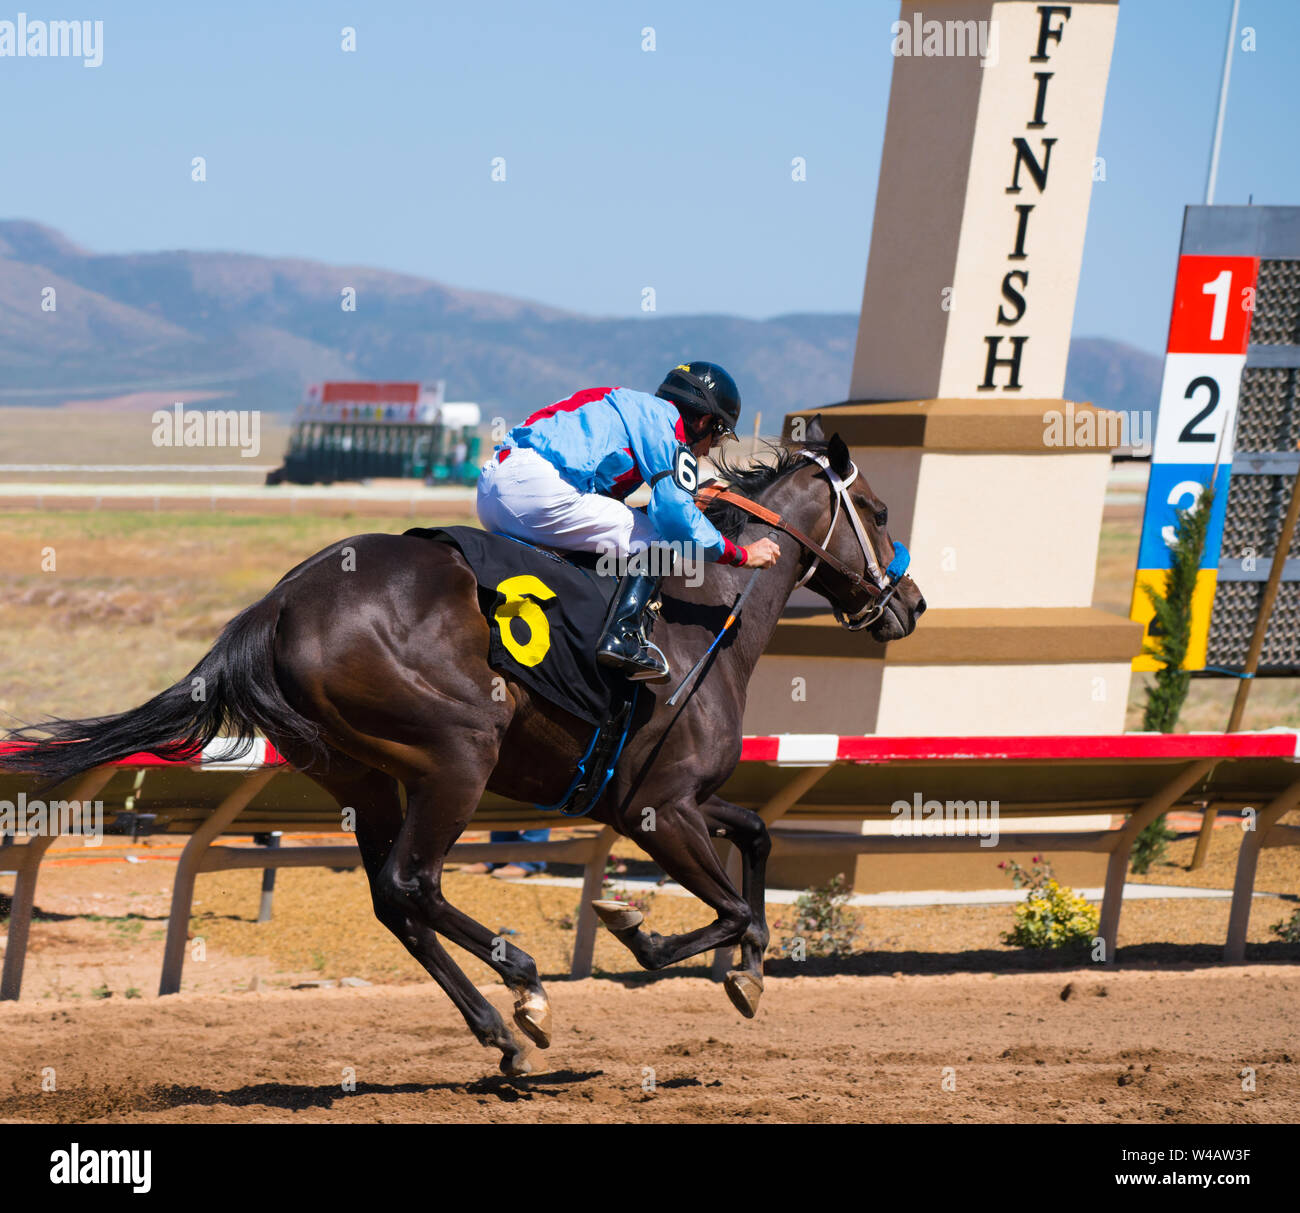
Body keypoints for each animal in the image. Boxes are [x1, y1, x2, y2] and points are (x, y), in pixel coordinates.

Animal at [7, 421, 925, 1076]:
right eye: (879, 514)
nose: (910, 602)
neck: (707, 614)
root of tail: (279, 603)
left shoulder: (670, 800)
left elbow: (760, 835)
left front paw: (747, 967)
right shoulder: (658, 809)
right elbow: (725, 906)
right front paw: (646, 932)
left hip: (365, 776)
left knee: (394, 899)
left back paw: (505, 1030)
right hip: (458, 754)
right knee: (413, 883)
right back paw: (524, 983)